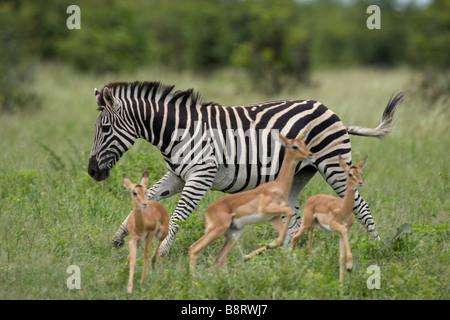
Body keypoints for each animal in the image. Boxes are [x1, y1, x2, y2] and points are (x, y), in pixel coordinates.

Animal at [89, 81, 404, 256]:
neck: (177, 131)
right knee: (295, 215)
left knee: (360, 206)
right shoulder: (176, 176)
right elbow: (146, 197)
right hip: (298, 173)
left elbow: (178, 214)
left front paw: (162, 251)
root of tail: (330, 110)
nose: (92, 172)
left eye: (104, 129)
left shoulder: (200, 175)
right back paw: (285, 257)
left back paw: (376, 247)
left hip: (333, 163)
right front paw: (118, 237)